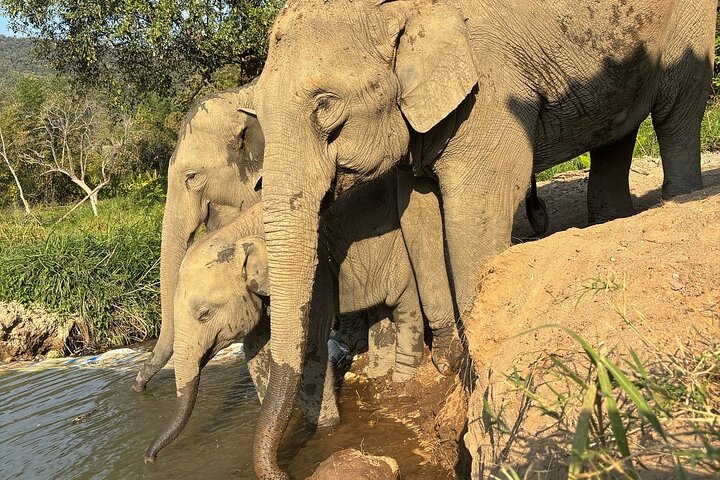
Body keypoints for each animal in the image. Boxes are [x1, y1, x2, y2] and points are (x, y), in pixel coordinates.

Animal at [145, 172, 441, 461]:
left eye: (204, 314)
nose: (150, 458)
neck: (238, 232)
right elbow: (256, 353)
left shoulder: (314, 277)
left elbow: (310, 348)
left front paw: (325, 429)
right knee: (381, 313)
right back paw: (379, 374)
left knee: (404, 306)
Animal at [250, 0, 715, 477]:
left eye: (325, 105)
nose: (289, 466)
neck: (398, 11)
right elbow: (416, 212)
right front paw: (449, 358)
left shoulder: (488, 83)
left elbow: (476, 206)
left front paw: (473, 367)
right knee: (617, 132)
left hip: (687, 21)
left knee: (677, 108)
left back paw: (678, 200)